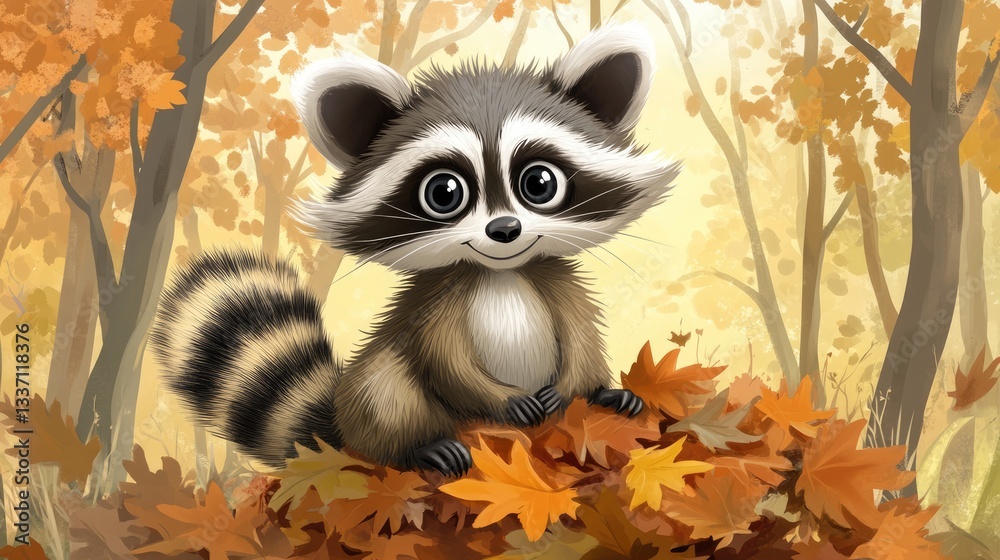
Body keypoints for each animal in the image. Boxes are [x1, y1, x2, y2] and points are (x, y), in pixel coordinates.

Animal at [150, 24, 680, 477]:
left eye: (540, 183)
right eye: (444, 192)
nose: (505, 230)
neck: (501, 273)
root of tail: (338, 427)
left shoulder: (556, 281)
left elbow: (582, 340)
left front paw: (581, 388)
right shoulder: (436, 305)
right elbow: (442, 361)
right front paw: (498, 400)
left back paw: (607, 398)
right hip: (377, 398)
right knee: (385, 391)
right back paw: (420, 446)